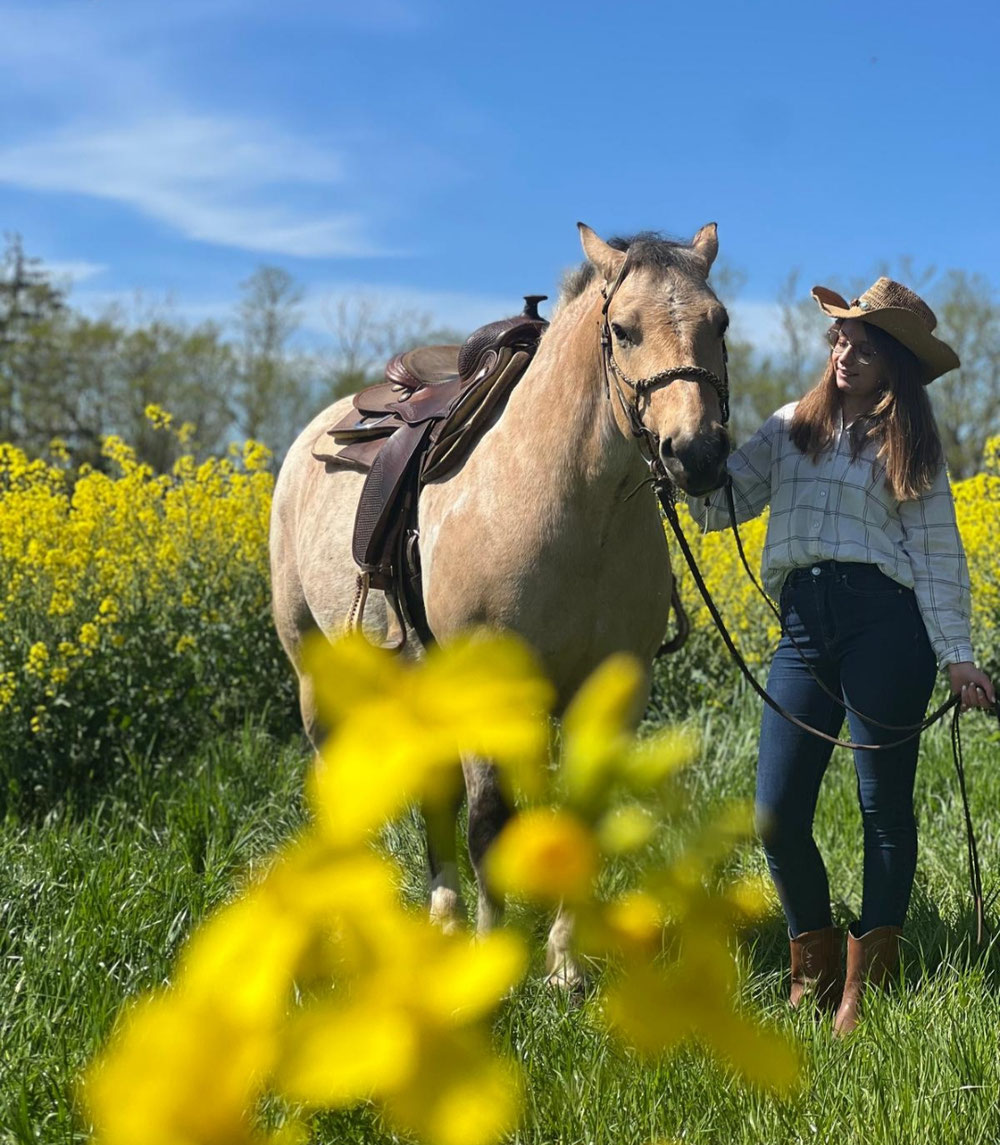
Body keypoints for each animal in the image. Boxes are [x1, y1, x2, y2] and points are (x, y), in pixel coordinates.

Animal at [269, 222, 731, 985]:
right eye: (625, 330)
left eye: (718, 323)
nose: (696, 452)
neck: (577, 502)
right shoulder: (489, 685)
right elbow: (490, 820)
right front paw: (493, 965)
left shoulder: (612, 690)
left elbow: (577, 817)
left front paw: (563, 964)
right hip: (316, 677)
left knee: (433, 796)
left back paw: (445, 918)